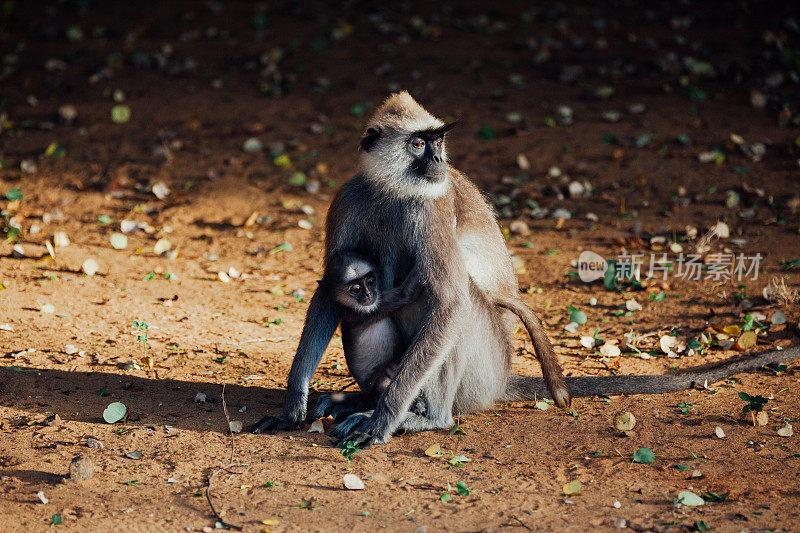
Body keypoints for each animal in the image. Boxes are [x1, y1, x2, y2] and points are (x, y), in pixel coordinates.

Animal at [255, 91, 800, 444]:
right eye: (418, 144)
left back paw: (423, 418)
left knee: (451, 300)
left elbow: (448, 303)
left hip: (483, 363)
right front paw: (295, 400)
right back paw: (361, 400)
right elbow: (329, 290)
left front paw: (383, 420)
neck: (393, 192)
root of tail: (500, 380)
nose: (437, 160)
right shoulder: (348, 198)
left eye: (437, 142)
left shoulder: (430, 209)